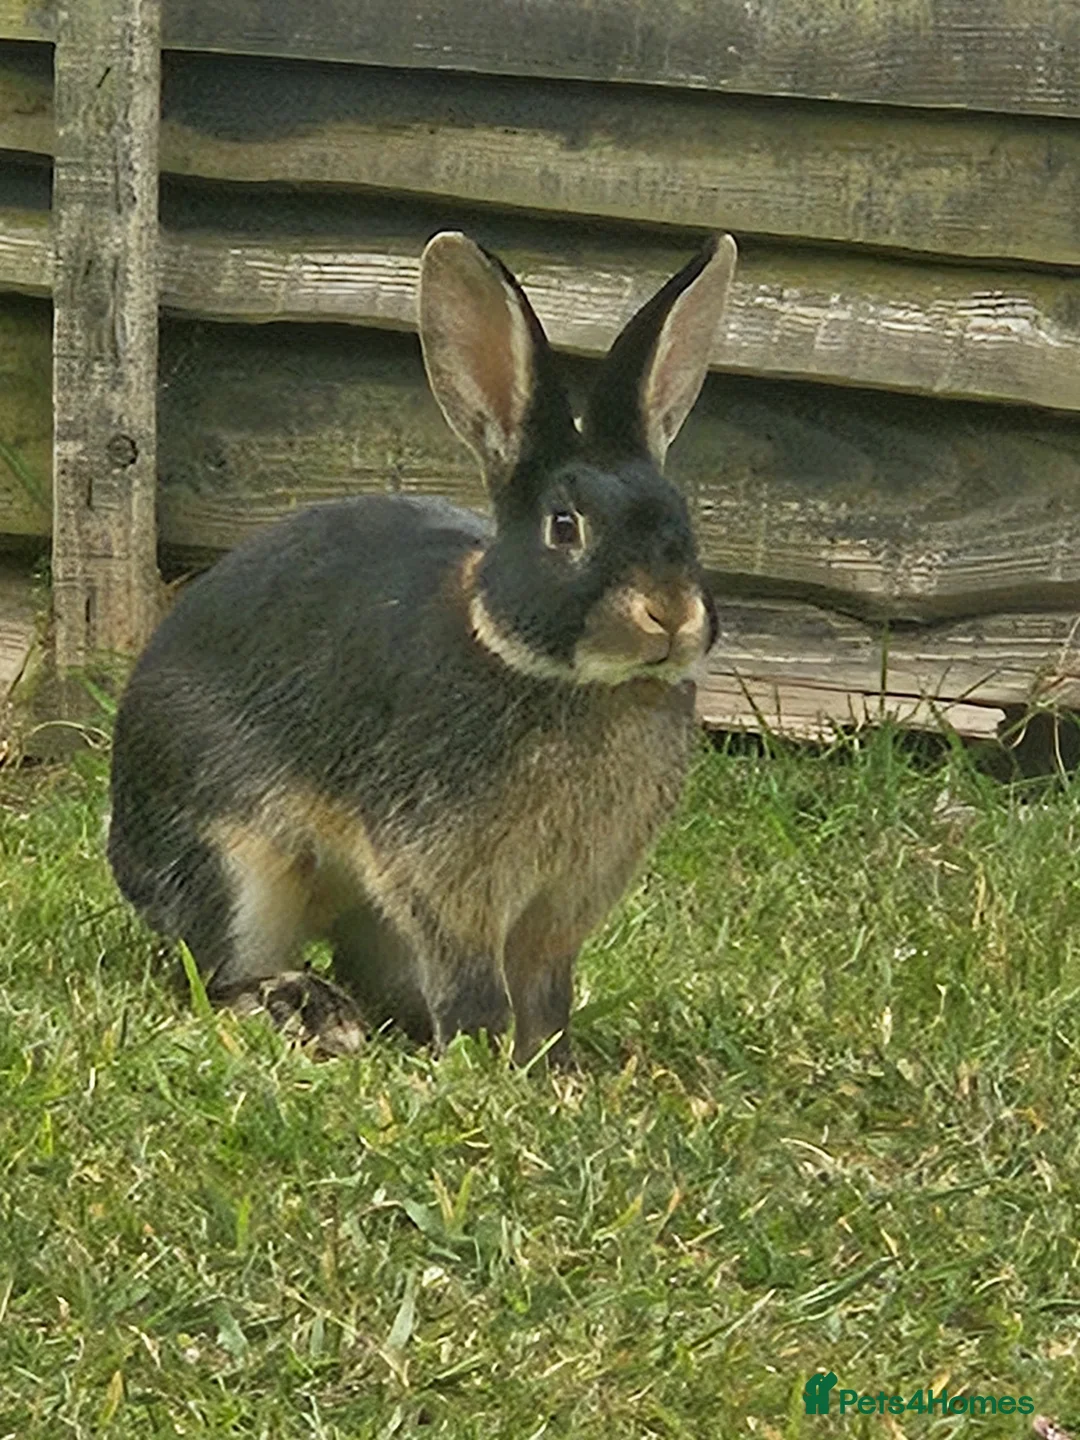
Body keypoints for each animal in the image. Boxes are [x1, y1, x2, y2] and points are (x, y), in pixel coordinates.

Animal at [107, 228, 737, 1064]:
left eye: (681, 522)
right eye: (564, 526)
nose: (668, 613)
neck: (557, 674)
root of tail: (125, 853)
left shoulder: (560, 903)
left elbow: (546, 985)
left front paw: (553, 1066)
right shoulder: (445, 877)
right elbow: (473, 974)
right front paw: (484, 1054)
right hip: (236, 864)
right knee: (218, 970)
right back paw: (311, 1011)